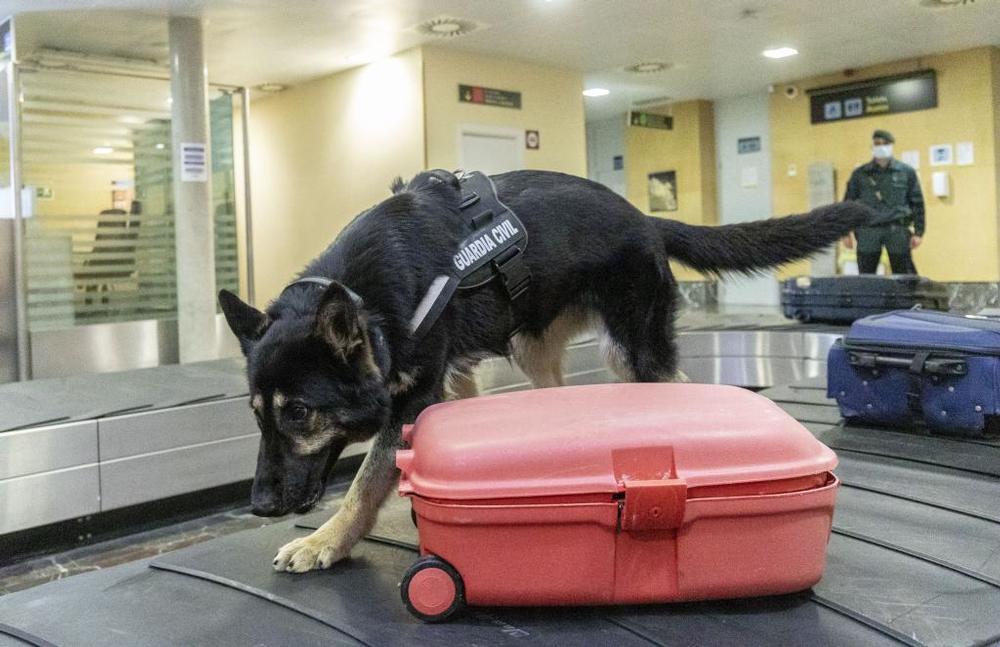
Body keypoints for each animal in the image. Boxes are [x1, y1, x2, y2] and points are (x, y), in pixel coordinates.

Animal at [217, 168, 868, 572]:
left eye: (300, 413)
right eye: (257, 416)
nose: (261, 507)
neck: (364, 298)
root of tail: (644, 217)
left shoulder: (417, 395)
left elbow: (365, 481)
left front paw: (327, 540)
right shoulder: (452, 383)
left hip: (635, 352)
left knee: (673, 385)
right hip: (537, 352)